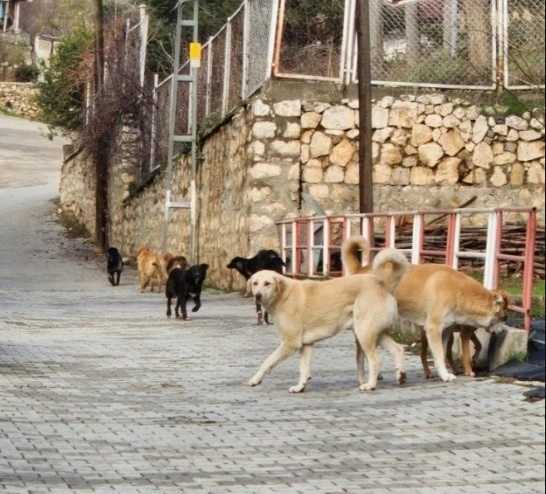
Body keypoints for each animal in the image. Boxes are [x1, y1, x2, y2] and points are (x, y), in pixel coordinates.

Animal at [246, 247, 408, 394]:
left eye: (267, 283)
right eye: (255, 283)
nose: (257, 296)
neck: (283, 295)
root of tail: (383, 284)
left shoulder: (290, 343)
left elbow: (268, 361)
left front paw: (255, 380)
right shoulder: (306, 345)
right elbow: (303, 368)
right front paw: (300, 387)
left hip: (364, 335)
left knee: (375, 361)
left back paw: (370, 385)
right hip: (373, 334)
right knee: (398, 349)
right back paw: (400, 376)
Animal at [342, 237, 508, 384]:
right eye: (504, 318)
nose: (502, 333)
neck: (459, 291)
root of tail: (360, 269)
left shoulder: (445, 331)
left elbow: (442, 354)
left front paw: (444, 373)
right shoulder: (434, 329)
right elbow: (439, 355)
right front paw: (445, 376)